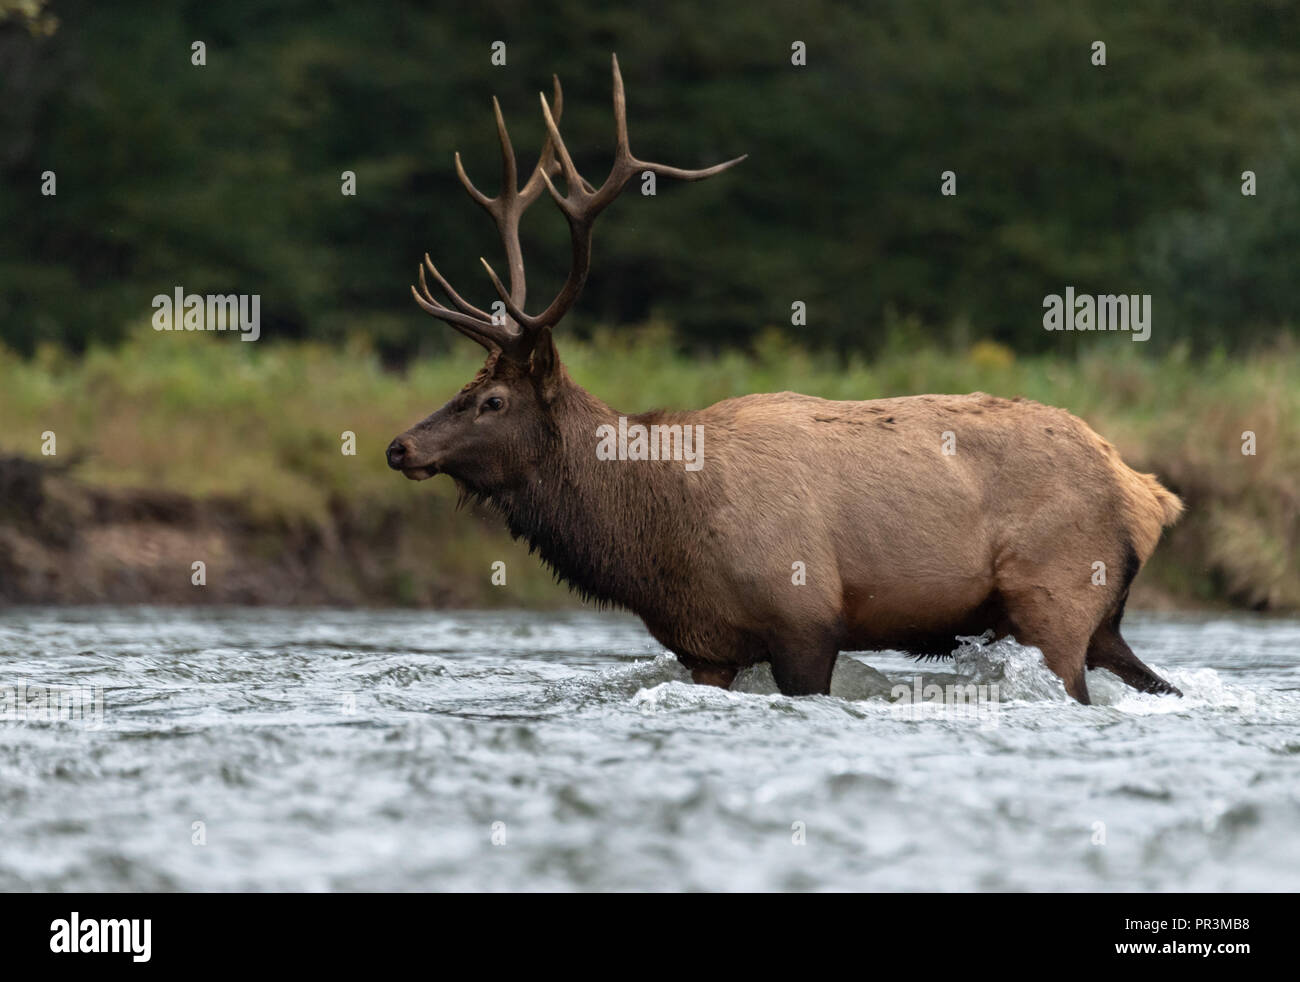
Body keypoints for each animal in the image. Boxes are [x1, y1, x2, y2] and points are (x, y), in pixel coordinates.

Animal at [386, 55, 1184, 704]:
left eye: (492, 400)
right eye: (462, 388)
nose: (399, 446)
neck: (656, 536)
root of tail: (1148, 493)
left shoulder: (805, 617)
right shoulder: (706, 644)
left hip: (1056, 597)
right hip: (1099, 618)